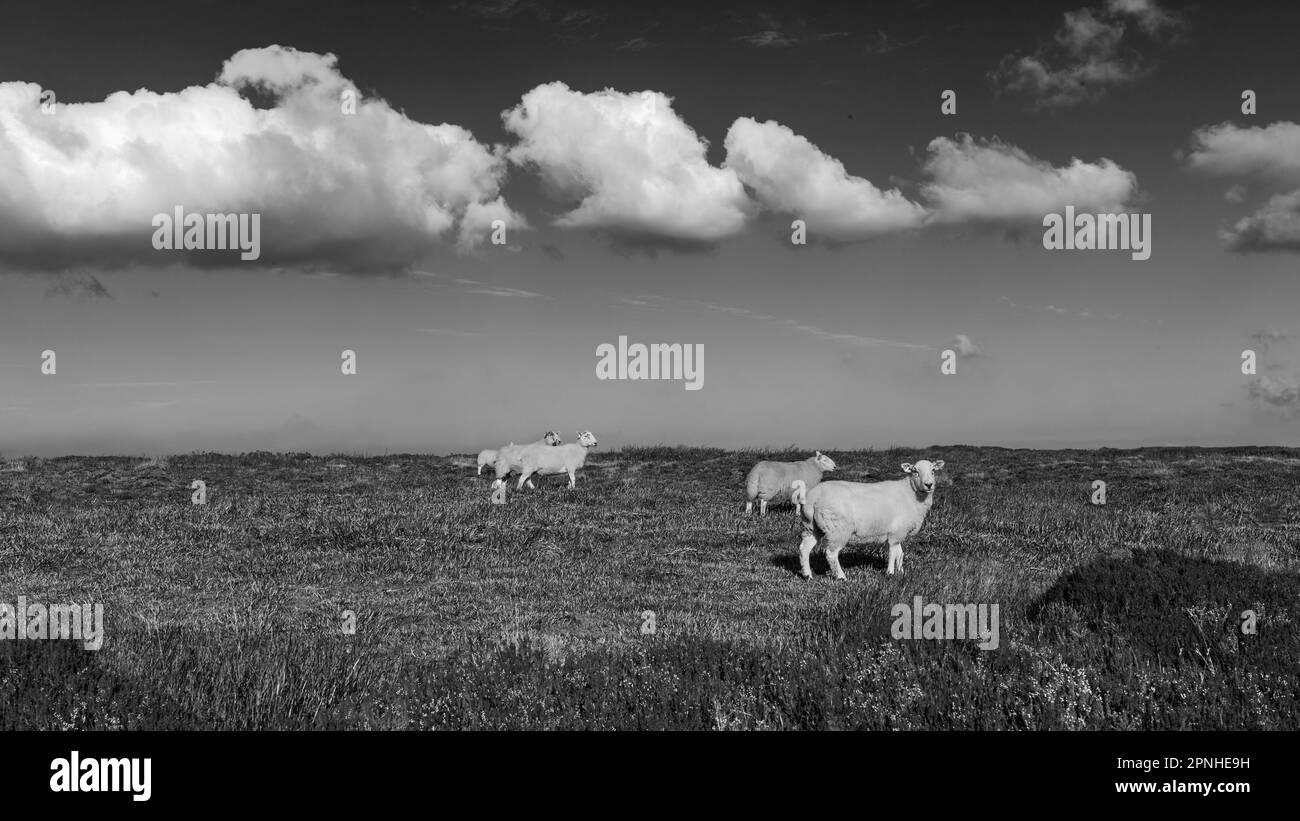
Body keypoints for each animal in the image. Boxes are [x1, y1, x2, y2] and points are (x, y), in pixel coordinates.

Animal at [790, 459, 946, 579]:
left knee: (804, 548)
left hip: (812, 526)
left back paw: (807, 575)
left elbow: (900, 553)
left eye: (933, 470)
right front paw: (890, 573)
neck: (910, 493)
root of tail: (813, 496)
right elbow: (893, 553)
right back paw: (841, 577)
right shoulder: (896, 532)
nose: (929, 484)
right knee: (831, 553)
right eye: (915, 471)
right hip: (838, 529)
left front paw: (901, 572)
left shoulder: (898, 532)